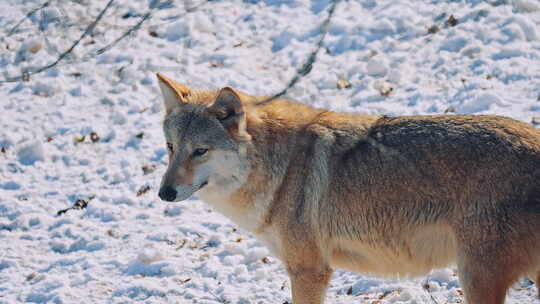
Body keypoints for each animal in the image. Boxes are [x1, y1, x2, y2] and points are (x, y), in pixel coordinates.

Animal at [156, 73, 540, 304]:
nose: (164, 194)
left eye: (200, 151)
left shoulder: (309, 271)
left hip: (476, 278)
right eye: (171, 147)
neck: (279, 168)